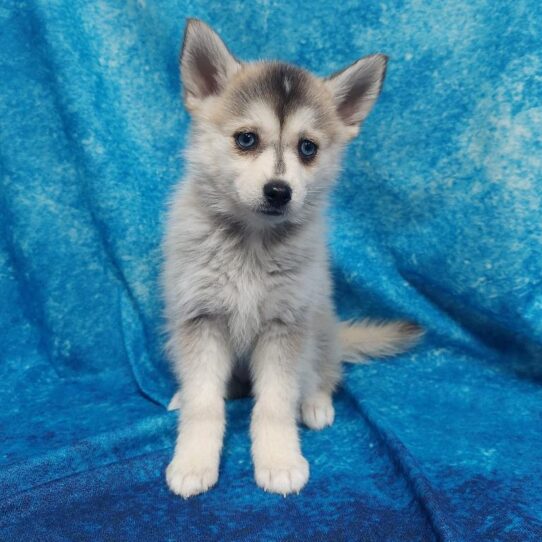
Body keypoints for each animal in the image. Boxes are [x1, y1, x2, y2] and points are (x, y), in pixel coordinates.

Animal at [164, 19, 422, 500]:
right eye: (246, 139)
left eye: (307, 148)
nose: (279, 191)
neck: (251, 242)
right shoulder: (201, 319)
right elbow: (205, 403)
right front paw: (193, 460)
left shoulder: (285, 326)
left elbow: (275, 404)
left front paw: (279, 460)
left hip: (318, 324)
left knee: (324, 372)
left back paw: (316, 403)